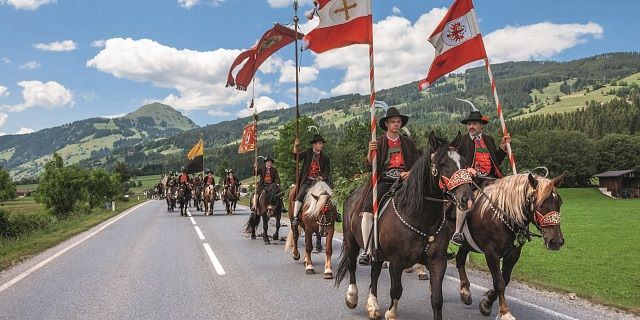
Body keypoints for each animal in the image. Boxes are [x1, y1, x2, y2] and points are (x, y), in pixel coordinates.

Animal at [336, 132, 476, 320]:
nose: (467, 199)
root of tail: (352, 196)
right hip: (352, 242)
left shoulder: (438, 262)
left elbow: (437, 299)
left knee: (374, 272)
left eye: (464, 163)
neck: (420, 218)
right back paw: (352, 297)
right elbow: (396, 290)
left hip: (378, 253)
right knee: (352, 266)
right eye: (442, 164)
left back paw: (373, 306)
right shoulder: (396, 262)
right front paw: (391, 313)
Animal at [450, 172, 564, 320]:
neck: (502, 216)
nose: (556, 241)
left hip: (466, 244)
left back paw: (465, 291)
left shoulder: (513, 254)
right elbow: (499, 282)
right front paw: (505, 312)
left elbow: (505, 279)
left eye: (560, 202)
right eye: (540, 204)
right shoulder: (491, 253)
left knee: (459, 260)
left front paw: (487, 303)